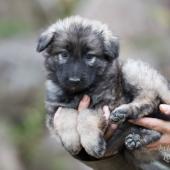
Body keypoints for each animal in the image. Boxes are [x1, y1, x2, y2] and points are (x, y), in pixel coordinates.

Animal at [36, 15, 170, 169]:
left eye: (89, 57)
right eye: (64, 54)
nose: (74, 80)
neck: (79, 93)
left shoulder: (106, 102)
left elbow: (86, 115)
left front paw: (92, 143)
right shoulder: (54, 110)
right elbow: (66, 113)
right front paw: (71, 141)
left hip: (132, 68)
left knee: (150, 98)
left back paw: (124, 112)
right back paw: (138, 137)